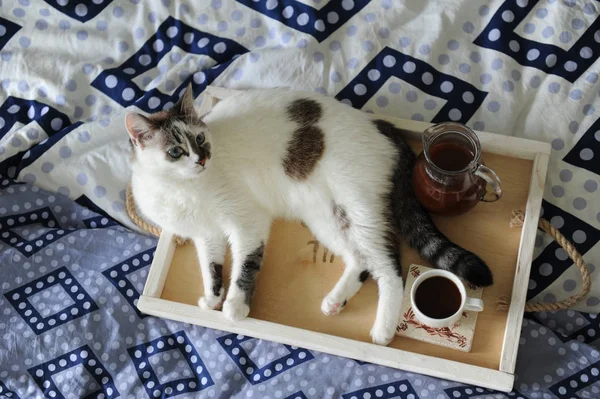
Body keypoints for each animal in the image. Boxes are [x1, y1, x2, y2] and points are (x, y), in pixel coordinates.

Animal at [127, 86, 492, 346]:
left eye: (201, 139)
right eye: (176, 151)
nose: (201, 159)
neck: (185, 189)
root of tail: (383, 125)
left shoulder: (247, 223)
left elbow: (244, 264)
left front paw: (235, 305)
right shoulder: (206, 235)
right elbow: (211, 266)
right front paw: (213, 296)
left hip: (357, 207)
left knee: (389, 265)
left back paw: (383, 330)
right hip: (326, 216)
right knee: (360, 259)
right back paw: (335, 301)